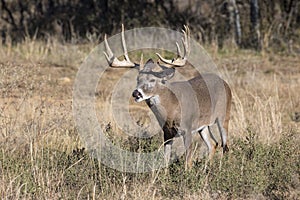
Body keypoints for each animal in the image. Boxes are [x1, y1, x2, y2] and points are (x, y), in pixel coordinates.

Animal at [103, 24, 232, 170]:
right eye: (138, 79)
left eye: (153, 80)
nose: (136, 93)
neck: (172, 109)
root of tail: (225, 83)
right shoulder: (167, 132)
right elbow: (165, 159)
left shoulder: (187, 129)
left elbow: (188, 162)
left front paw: (187, 175)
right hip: (203, 126)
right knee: (213, 144)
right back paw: (207, 170)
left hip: (223, 116)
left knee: (225, 145)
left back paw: (222, 170)